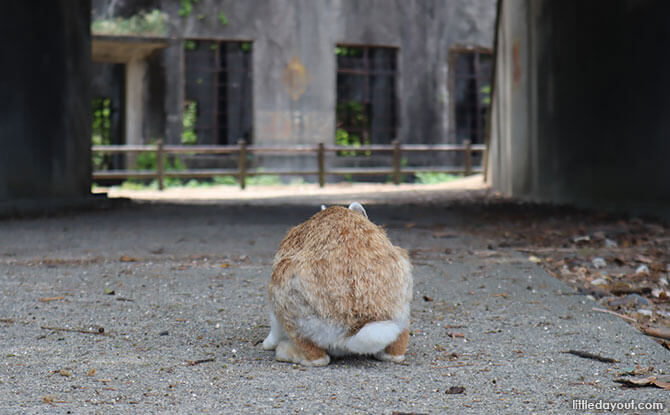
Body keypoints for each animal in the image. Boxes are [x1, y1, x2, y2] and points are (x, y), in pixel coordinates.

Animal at [264, 202, 414, 368]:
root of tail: (357, 326)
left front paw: (267, 344)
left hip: (286, 299)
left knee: (317, 358)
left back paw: (285, 352)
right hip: (402, 308)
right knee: (396, 352)